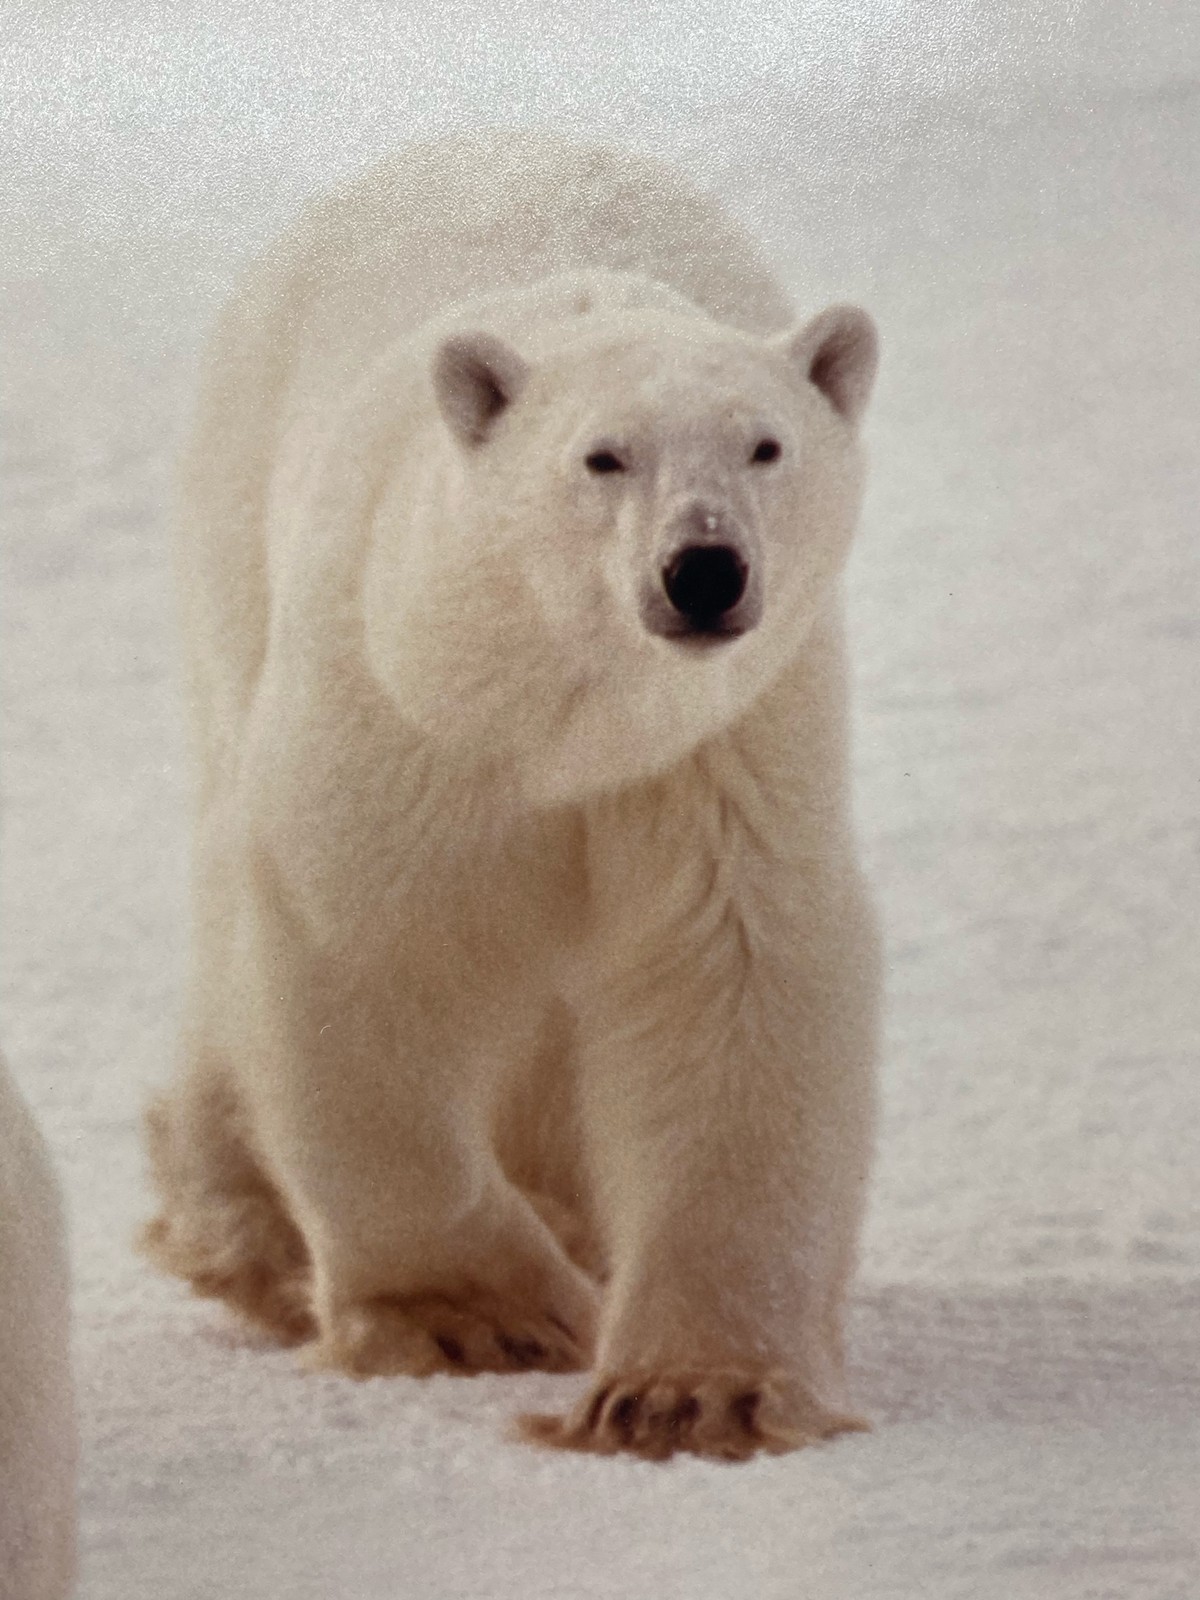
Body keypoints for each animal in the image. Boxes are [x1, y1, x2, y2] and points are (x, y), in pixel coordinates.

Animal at [142, 130, 882, 1462]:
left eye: (766, 445)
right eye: (603, 455)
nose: (703, 568)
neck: (553, 719)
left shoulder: (719, 760)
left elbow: (731, 983)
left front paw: (691, 1392)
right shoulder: (400, 709)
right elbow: (362, 945)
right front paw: (473, 1320)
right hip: (231, 547)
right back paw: (243, 1231)